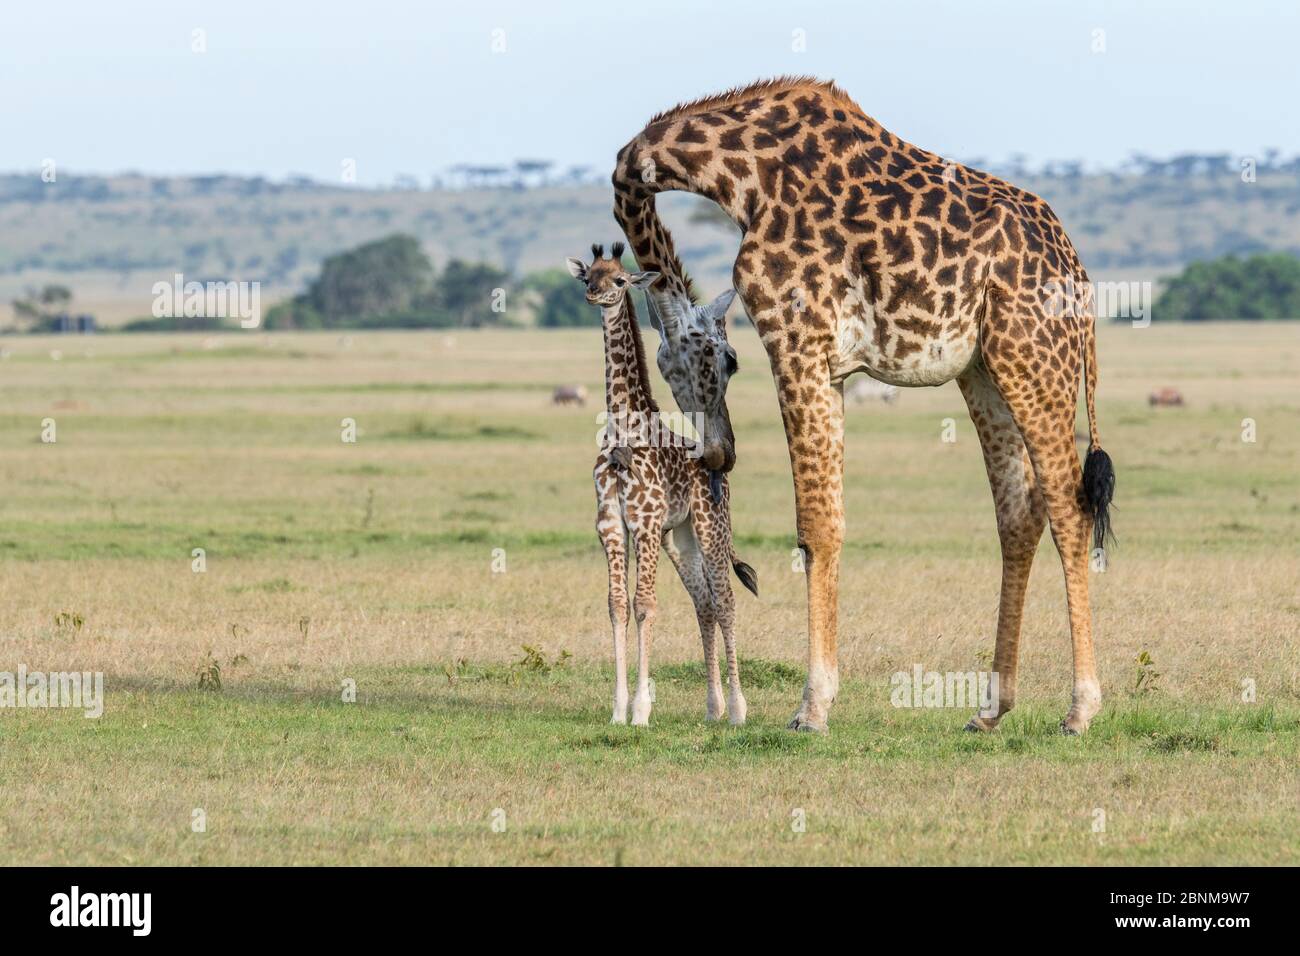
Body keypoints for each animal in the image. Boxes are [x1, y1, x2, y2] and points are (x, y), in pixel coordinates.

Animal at [569, 244, 759, 723]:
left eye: (619, 280)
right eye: (588, 275)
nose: (594, 294)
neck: (623, 428)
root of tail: (718, 466)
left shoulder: (646, 523)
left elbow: (645, 605)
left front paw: (640, 710)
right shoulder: (612, 526)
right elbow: (617, 606)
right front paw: (618, 711)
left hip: (711, 526)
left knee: (726, 601)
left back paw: (737, 710)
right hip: (682, 537)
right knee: (704, 604)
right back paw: (712, 708)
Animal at [611, 76, 1118, 733]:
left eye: (730, 363)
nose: (721, 454)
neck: (741, 178)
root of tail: (1076, 272)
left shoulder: (797, 342)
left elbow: (815, 526)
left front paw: (811, 708)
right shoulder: (832, 365)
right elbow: (830, 521)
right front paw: (820, 699)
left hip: (1032, 357)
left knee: (1069, 508)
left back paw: (1080, 708)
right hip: (982, 370)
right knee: (1018, 512)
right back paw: (989, 708)